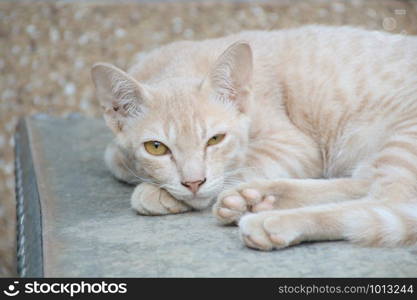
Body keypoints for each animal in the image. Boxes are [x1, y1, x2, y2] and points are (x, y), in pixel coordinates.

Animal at [92, 25, 416, 251]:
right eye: (156, 148)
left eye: (215, 139)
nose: (194, 183)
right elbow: (114, 157)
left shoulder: (294, 145)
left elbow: (247, 160)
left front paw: (158, 193)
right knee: (367, 184)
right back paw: (260, 198)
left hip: (405, 137)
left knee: (386, 201)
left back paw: (270, 219)